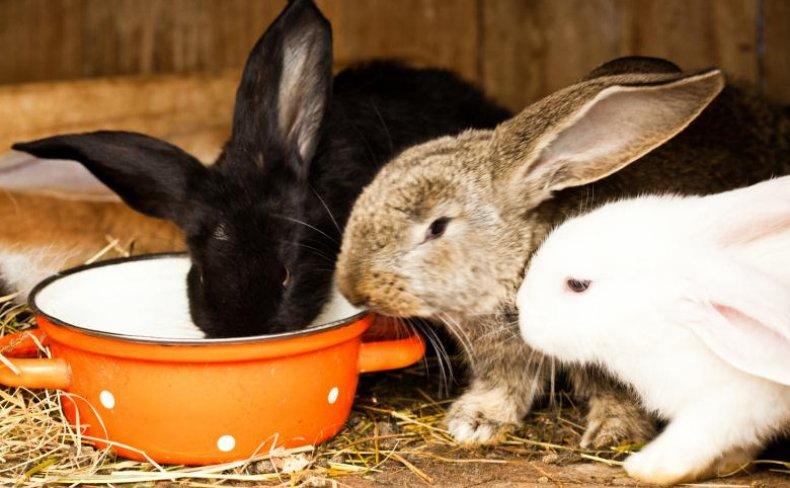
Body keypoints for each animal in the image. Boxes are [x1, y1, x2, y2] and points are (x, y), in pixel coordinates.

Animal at [336, 56, 790, 449]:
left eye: (437, 227)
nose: (353, 287)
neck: (520, 262)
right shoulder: (501, 360)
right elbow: (503, 386)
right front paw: (475, 421)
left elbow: (620, 395)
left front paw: (614, 433)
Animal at [517, 176, 790, 485]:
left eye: (577, 284)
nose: (519, 304)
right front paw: (730, 464)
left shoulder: (737, 401)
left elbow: (695, 437)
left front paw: (646, 467)